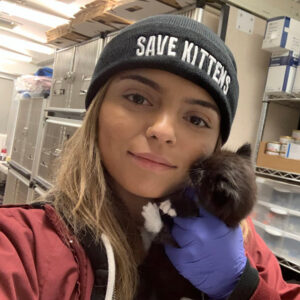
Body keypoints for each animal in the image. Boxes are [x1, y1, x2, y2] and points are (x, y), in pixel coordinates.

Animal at [135, 144, 255, 300]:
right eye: (207, 160)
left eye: (201, 175)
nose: (195, 163)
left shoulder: (180, 243)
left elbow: (180, 219)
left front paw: (172, 205)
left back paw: (151, 217)